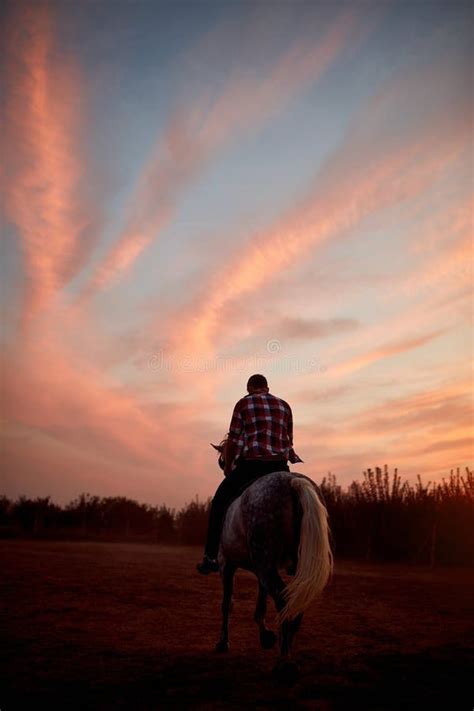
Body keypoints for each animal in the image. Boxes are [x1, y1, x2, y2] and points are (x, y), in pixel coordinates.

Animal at [209, 442, 332, 680]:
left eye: (222, 459)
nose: (225, 469)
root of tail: (293, 483)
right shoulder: (262, 567)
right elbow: (261, 601)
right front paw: (266, 635)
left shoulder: (227, 564)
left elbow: (227, 604)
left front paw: (223, 642)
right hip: (289, 565)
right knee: (298, 598)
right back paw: (288, 642)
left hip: (261, 562)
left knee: (284, 598)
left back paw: (285, 661)